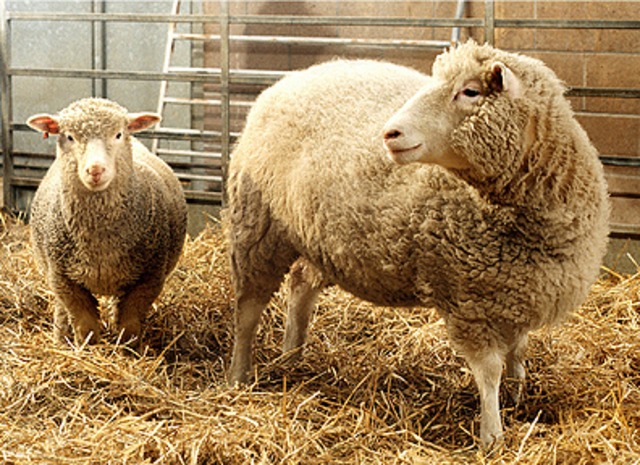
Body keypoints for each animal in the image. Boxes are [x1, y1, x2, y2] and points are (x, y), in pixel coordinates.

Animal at [27, 98, 188, 348]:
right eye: (69, 136)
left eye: (118, 134)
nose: (95, 170)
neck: (100, 244)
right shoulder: (64, 279)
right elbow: (85, 326)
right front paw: (88, 350)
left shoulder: (148, 279)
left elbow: (130, 324)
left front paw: (128, 351)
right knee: (61, 310)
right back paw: (60, 340)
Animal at [225, 42, 610, 448]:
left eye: (470, 92)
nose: (390, 133)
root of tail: (286, 81)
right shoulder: (469, 301)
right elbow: (488, 371)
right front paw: (492, 435)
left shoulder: (518, 291)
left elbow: (518, 353)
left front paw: (517, 398)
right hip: (257, 228)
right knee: (248, 311)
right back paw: (239, 375)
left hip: (316, 236)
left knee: (300, 287)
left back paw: (292, 356)